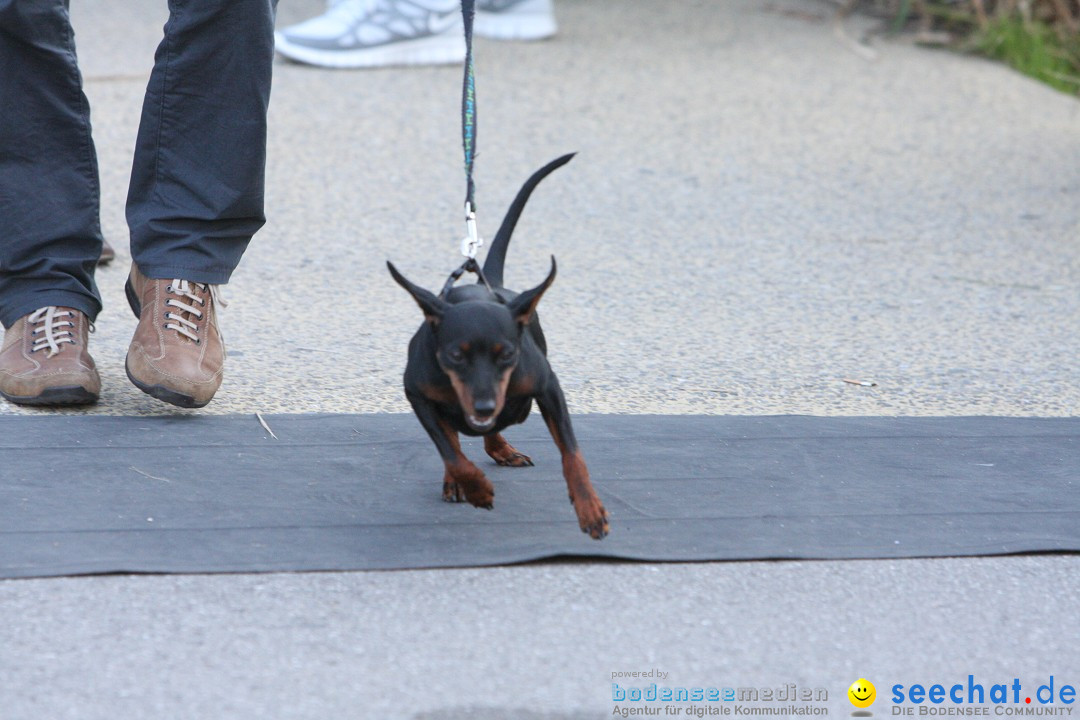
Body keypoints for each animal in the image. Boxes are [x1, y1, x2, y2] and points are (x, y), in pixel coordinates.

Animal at [386, 156, 609, 539]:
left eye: (506, 354)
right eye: (455, 355)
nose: (485, 405)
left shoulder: (547, 387)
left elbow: (573, 454)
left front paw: (590, 509)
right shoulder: (417, 393)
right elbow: (450, 451)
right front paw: (474, 486)